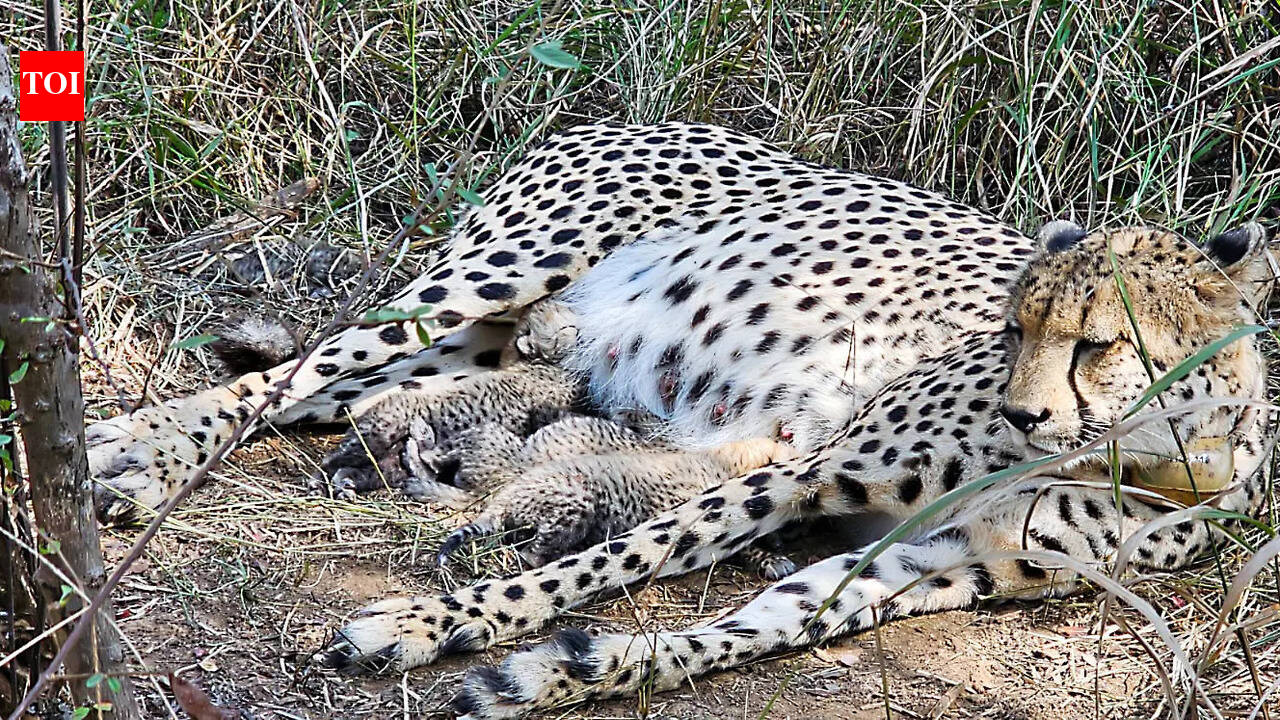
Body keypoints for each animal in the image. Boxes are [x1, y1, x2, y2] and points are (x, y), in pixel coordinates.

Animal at [80, 122, 1273, 719]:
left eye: (1098, 343)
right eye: (1015, 327)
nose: (1023, 410)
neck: (1152, 455)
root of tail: (614, 113)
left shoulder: (938, 563)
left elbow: (742, 628)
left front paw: (561, 674)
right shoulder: (805, 470)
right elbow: (617, 558)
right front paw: (432, 621)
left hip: (483, 345)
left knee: (349, 397)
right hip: (490, 278)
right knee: (289, 375)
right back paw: (134, 457)